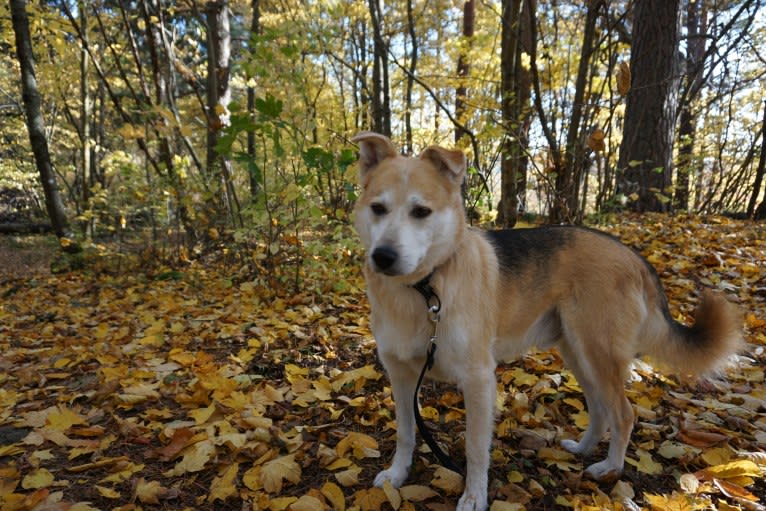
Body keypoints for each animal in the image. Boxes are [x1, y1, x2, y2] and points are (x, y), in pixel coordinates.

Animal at [354, 133, 744, 511]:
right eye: (378, 209)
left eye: (421, 212)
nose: (383, 257)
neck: (424, 289)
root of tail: (631, 255)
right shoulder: (401, 375)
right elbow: (406, 432)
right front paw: (397, 475)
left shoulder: (478, 379)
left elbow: (476, 449)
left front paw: (474, 495)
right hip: (577, 352)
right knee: (600, 409)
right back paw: (583, 449)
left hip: (598, 354)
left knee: (623, 414)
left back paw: (610, 468)